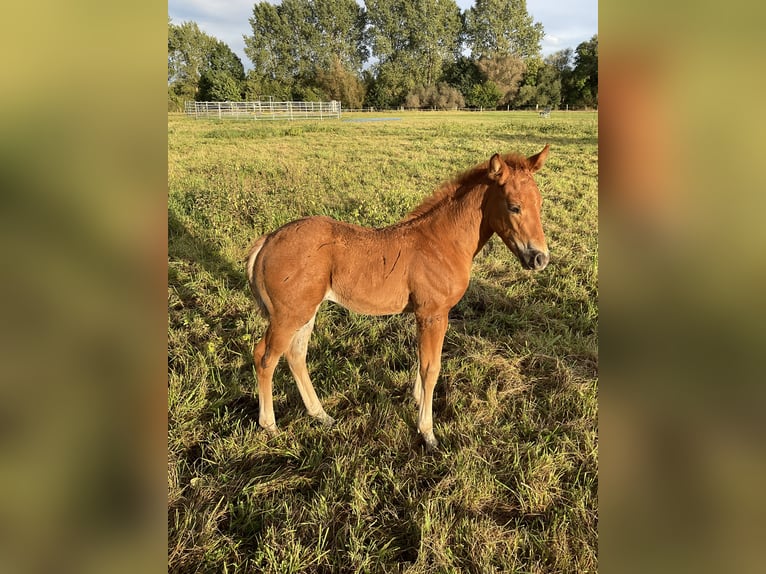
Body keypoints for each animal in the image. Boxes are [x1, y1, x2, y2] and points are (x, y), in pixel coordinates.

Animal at [245, 145, 551, 450]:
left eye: (540, 203)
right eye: (514, 206)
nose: (540, 258)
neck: (441, 242)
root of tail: (267, 241)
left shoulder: (425, 315)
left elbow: (421, 360)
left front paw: (415, 399)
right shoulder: (432, 313)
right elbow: (431, 368)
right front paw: (427, 432)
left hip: (306, 311)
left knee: (296, 355)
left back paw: (322, 415)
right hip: (288, 315)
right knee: (264, 357)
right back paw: (270, 425)